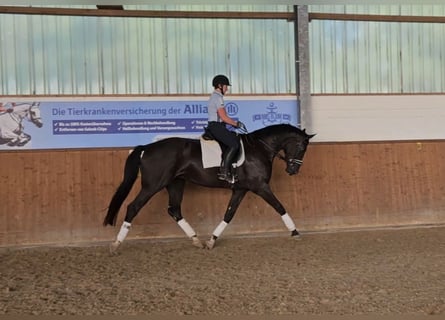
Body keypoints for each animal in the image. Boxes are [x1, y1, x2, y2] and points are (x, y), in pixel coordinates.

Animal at [104, 124, 314, 251]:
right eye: (302, 148)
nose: (292, 170)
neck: (260, 148)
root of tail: (146, 148)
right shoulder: (260, 186)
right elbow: (280, 207)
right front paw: (295, 232)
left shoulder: (240, 189)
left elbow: (229, 214)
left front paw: (212, 240)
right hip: (153, 185)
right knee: (133, 207)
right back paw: (116, 243)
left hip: (175, 183)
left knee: (174, 210)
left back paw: (196, 240)